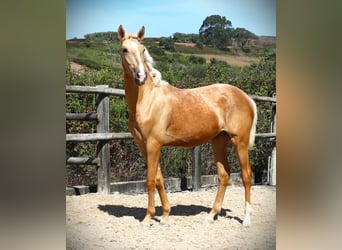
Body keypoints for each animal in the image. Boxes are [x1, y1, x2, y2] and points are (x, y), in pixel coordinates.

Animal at [117, 25, 256, 227]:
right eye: (125, 49)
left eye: (142, 50)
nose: (141, 76)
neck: (148, 99)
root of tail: (246, 97)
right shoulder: (144, 145)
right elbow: (159, 178)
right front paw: (165, 216)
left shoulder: (153, 144)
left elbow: (150, 180)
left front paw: (148, 218)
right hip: (219, 141)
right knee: (224, 175)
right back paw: (211, 215)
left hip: (240, 142)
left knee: (246, 176)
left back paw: (246, 219)